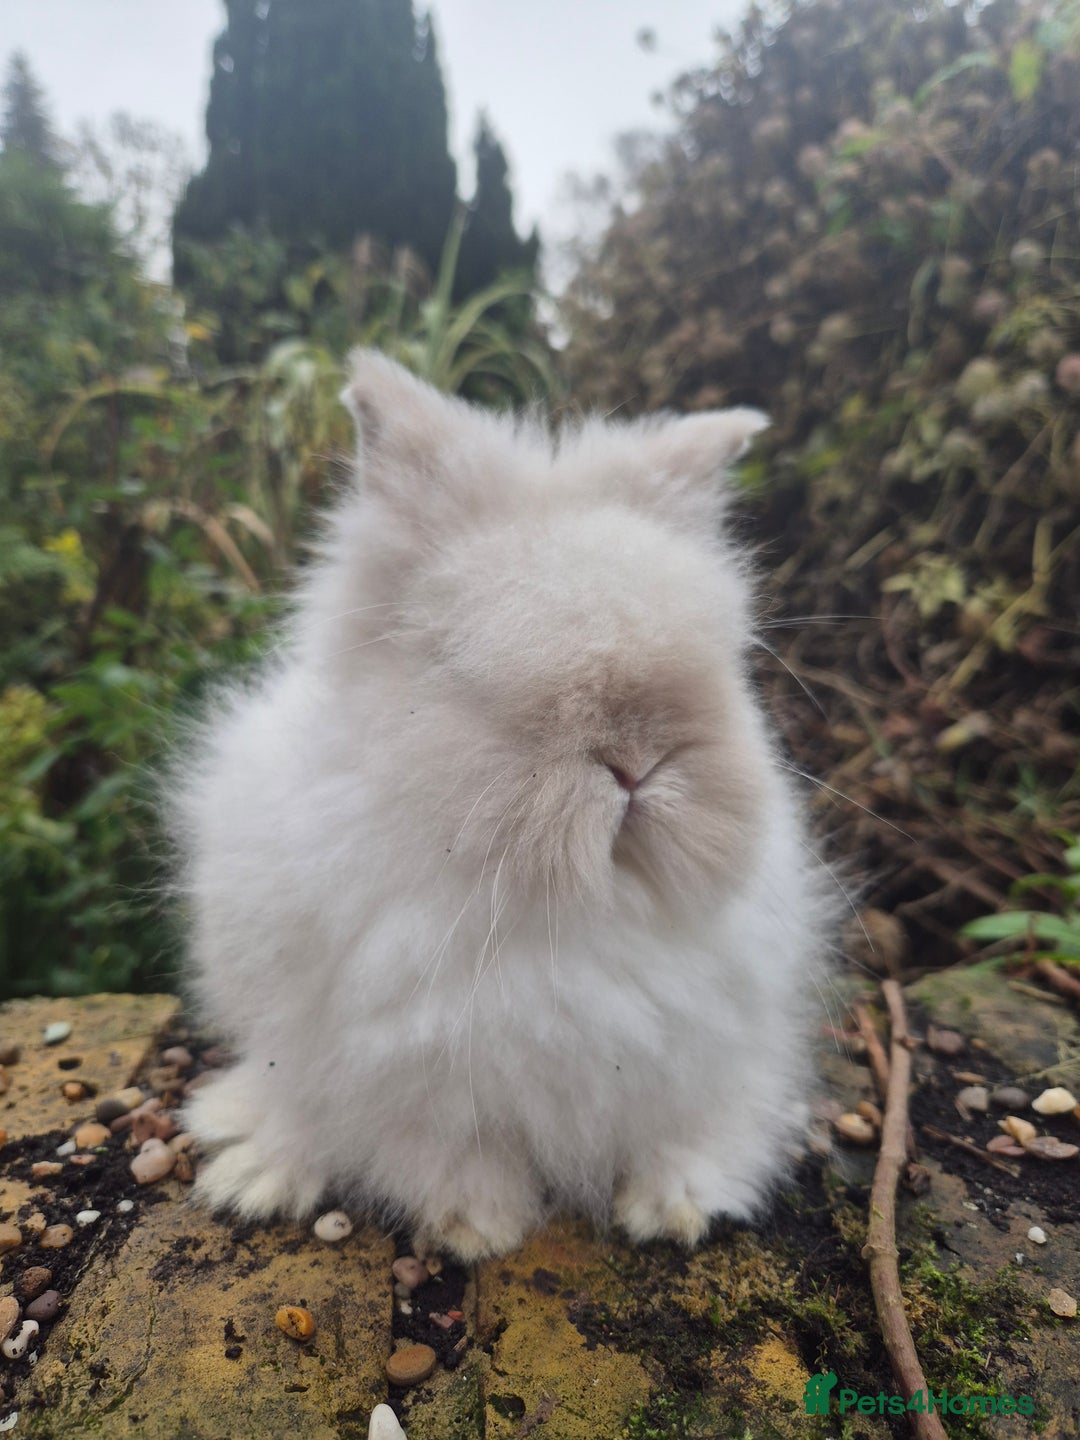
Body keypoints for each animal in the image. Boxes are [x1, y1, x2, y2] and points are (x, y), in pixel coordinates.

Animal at [172, 350, 835, 1262]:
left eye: (724, 662)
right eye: (461, 664)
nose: (637, 763)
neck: (571, 916)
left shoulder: (711, 1051)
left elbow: (688, 1129)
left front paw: (673, 1210)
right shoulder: (411, 1075)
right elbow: (441, 1148)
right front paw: (477, 1228)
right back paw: (256, 1173)